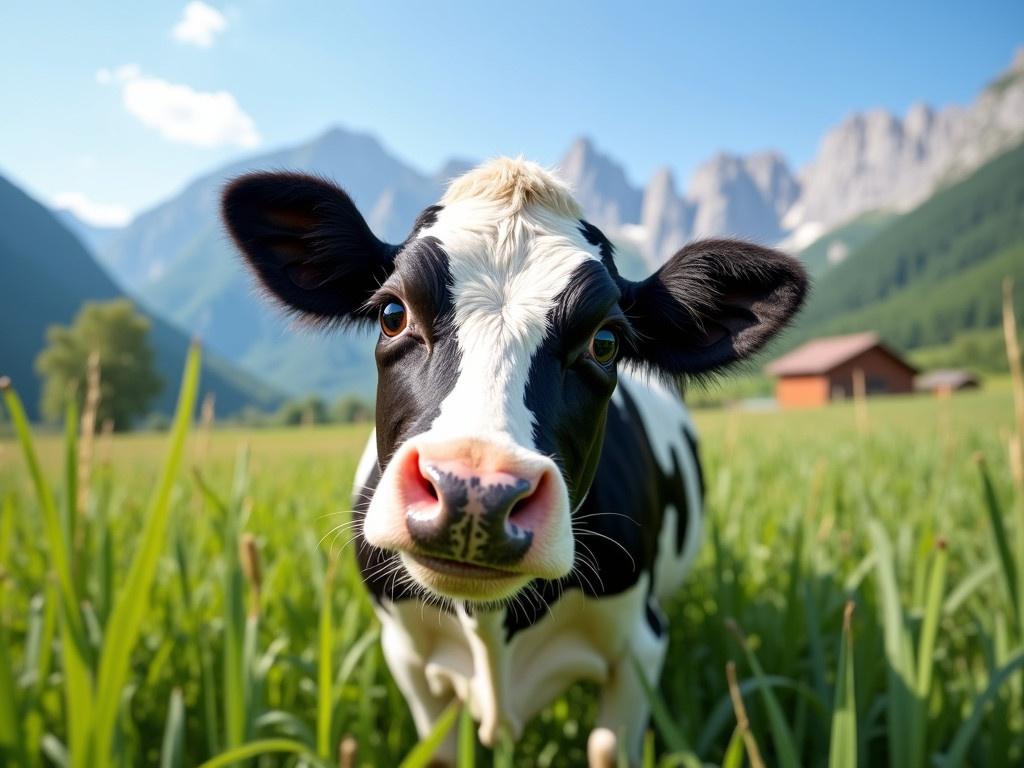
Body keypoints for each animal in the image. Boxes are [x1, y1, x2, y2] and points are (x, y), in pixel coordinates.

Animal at [224, 159, 806, 765]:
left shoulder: (640, 647)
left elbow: (608, 747)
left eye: (605, 342)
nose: (475, 493)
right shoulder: (405, 654)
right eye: (391, 313)